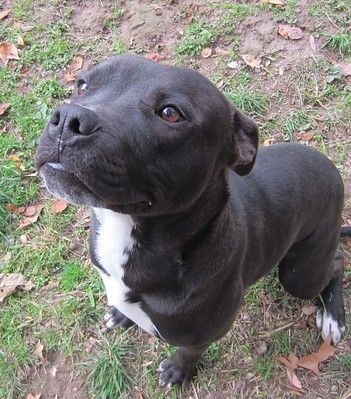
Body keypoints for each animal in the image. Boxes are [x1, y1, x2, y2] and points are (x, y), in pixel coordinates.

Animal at [35, 54, 350, 390]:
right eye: (82, 85)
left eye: (170, 113)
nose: (68, 120)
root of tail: (330, 167)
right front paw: (121, 314)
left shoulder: (205, 332)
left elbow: (189, 351)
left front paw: (178, 370)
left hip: (299, 274)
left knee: (336, 263)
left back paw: (333, 317)